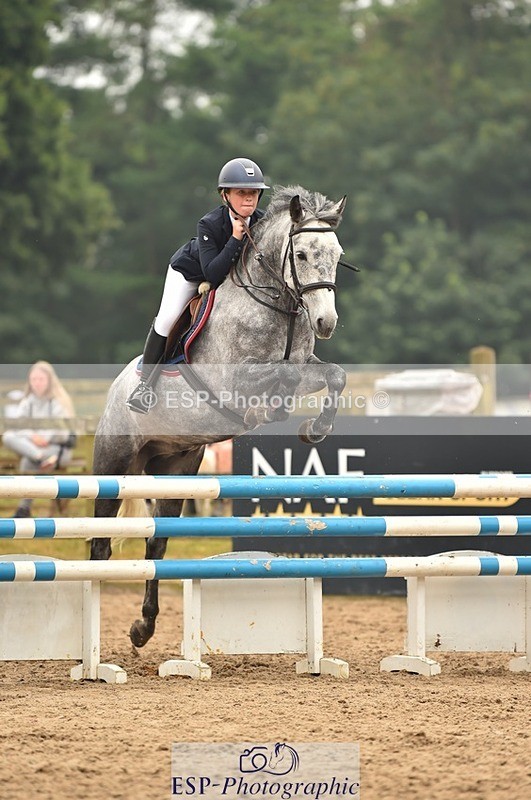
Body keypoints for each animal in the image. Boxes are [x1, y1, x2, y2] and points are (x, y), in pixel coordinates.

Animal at [91, 185, 348, 647]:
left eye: (337, 255)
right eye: (301, 254)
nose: (326, 322)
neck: (276, 305)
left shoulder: (307, 364)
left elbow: (334, 375)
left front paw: (314, 430)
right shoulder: (237, 378)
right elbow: (279, 377)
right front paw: (280, 411)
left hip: (175, 469)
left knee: (157, 545)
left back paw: (143, 627)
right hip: (114, 463)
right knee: (100, 546)